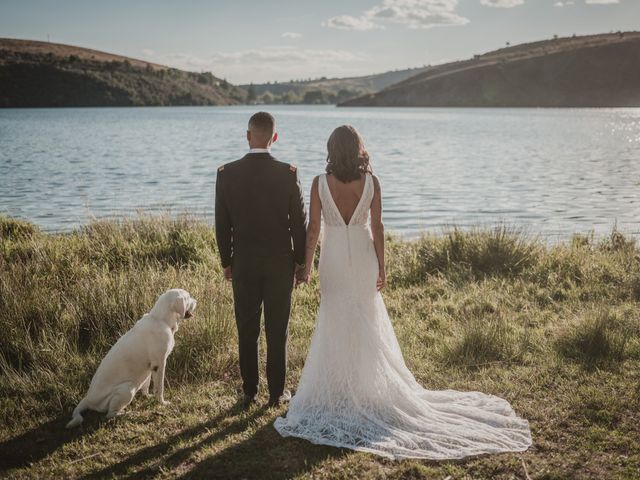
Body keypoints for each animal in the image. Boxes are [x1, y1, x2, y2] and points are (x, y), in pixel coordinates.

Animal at [65, 288, 196, 428]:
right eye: (188, 297)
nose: (196, 301)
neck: (161, 320)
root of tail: (88, 399)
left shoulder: (150, 367)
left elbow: (147, 385)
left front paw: (148, 396)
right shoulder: (159, 364)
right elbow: (159, 388)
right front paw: (162, 403)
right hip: (127, 389)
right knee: (110, 414)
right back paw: (128, 413)